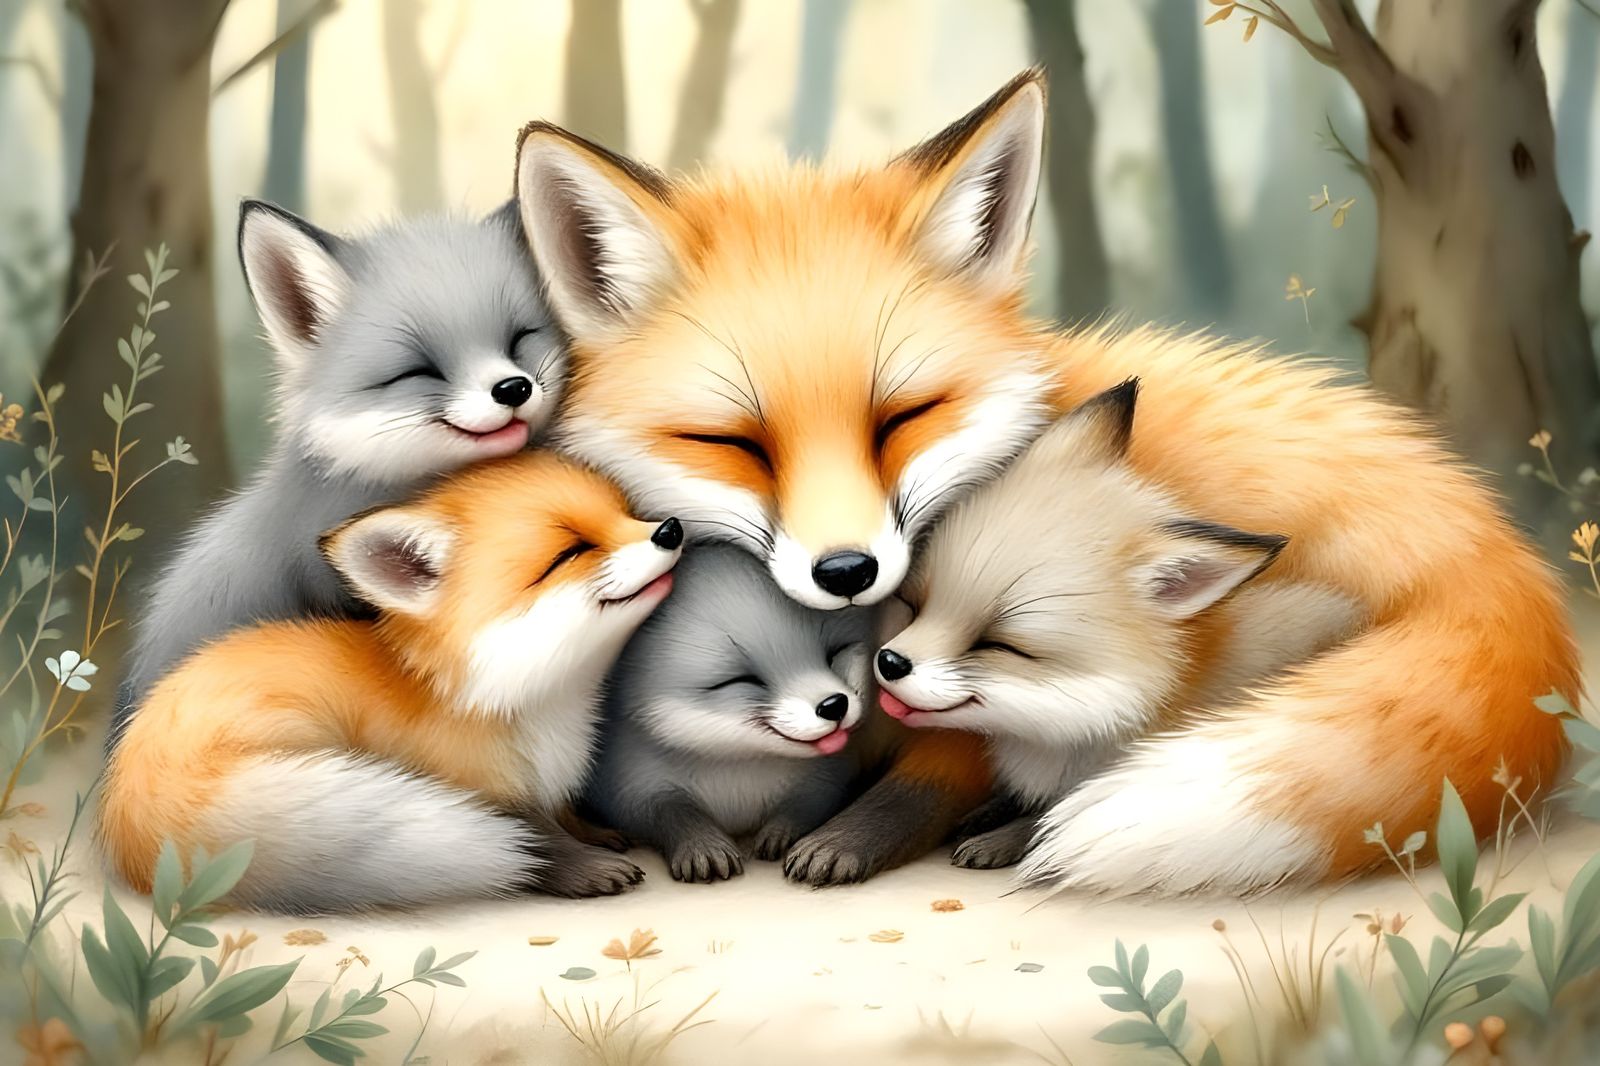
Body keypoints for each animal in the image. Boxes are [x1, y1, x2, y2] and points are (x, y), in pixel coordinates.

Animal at [100, 453, 683, 912]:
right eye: (570, 552)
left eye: (626, 512)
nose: (671, 529)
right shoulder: (482, 790)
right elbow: (539, 838)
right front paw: (582, 868)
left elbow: (564, 816)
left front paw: (598, 834)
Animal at [584, 544, 877, 882]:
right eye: (740, 680)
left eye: (834, 653)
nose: (834, 705)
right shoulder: (632, 787)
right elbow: (672, 812)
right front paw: (703, 847)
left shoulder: (828, 778)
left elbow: (805, 806)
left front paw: (780, 833)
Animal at [874, 380, 1364, 880]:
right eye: (916, 604)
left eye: (1000, 645)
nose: (889, 662)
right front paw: (992, 811)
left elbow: (1053, 822)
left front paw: (1003, 839)